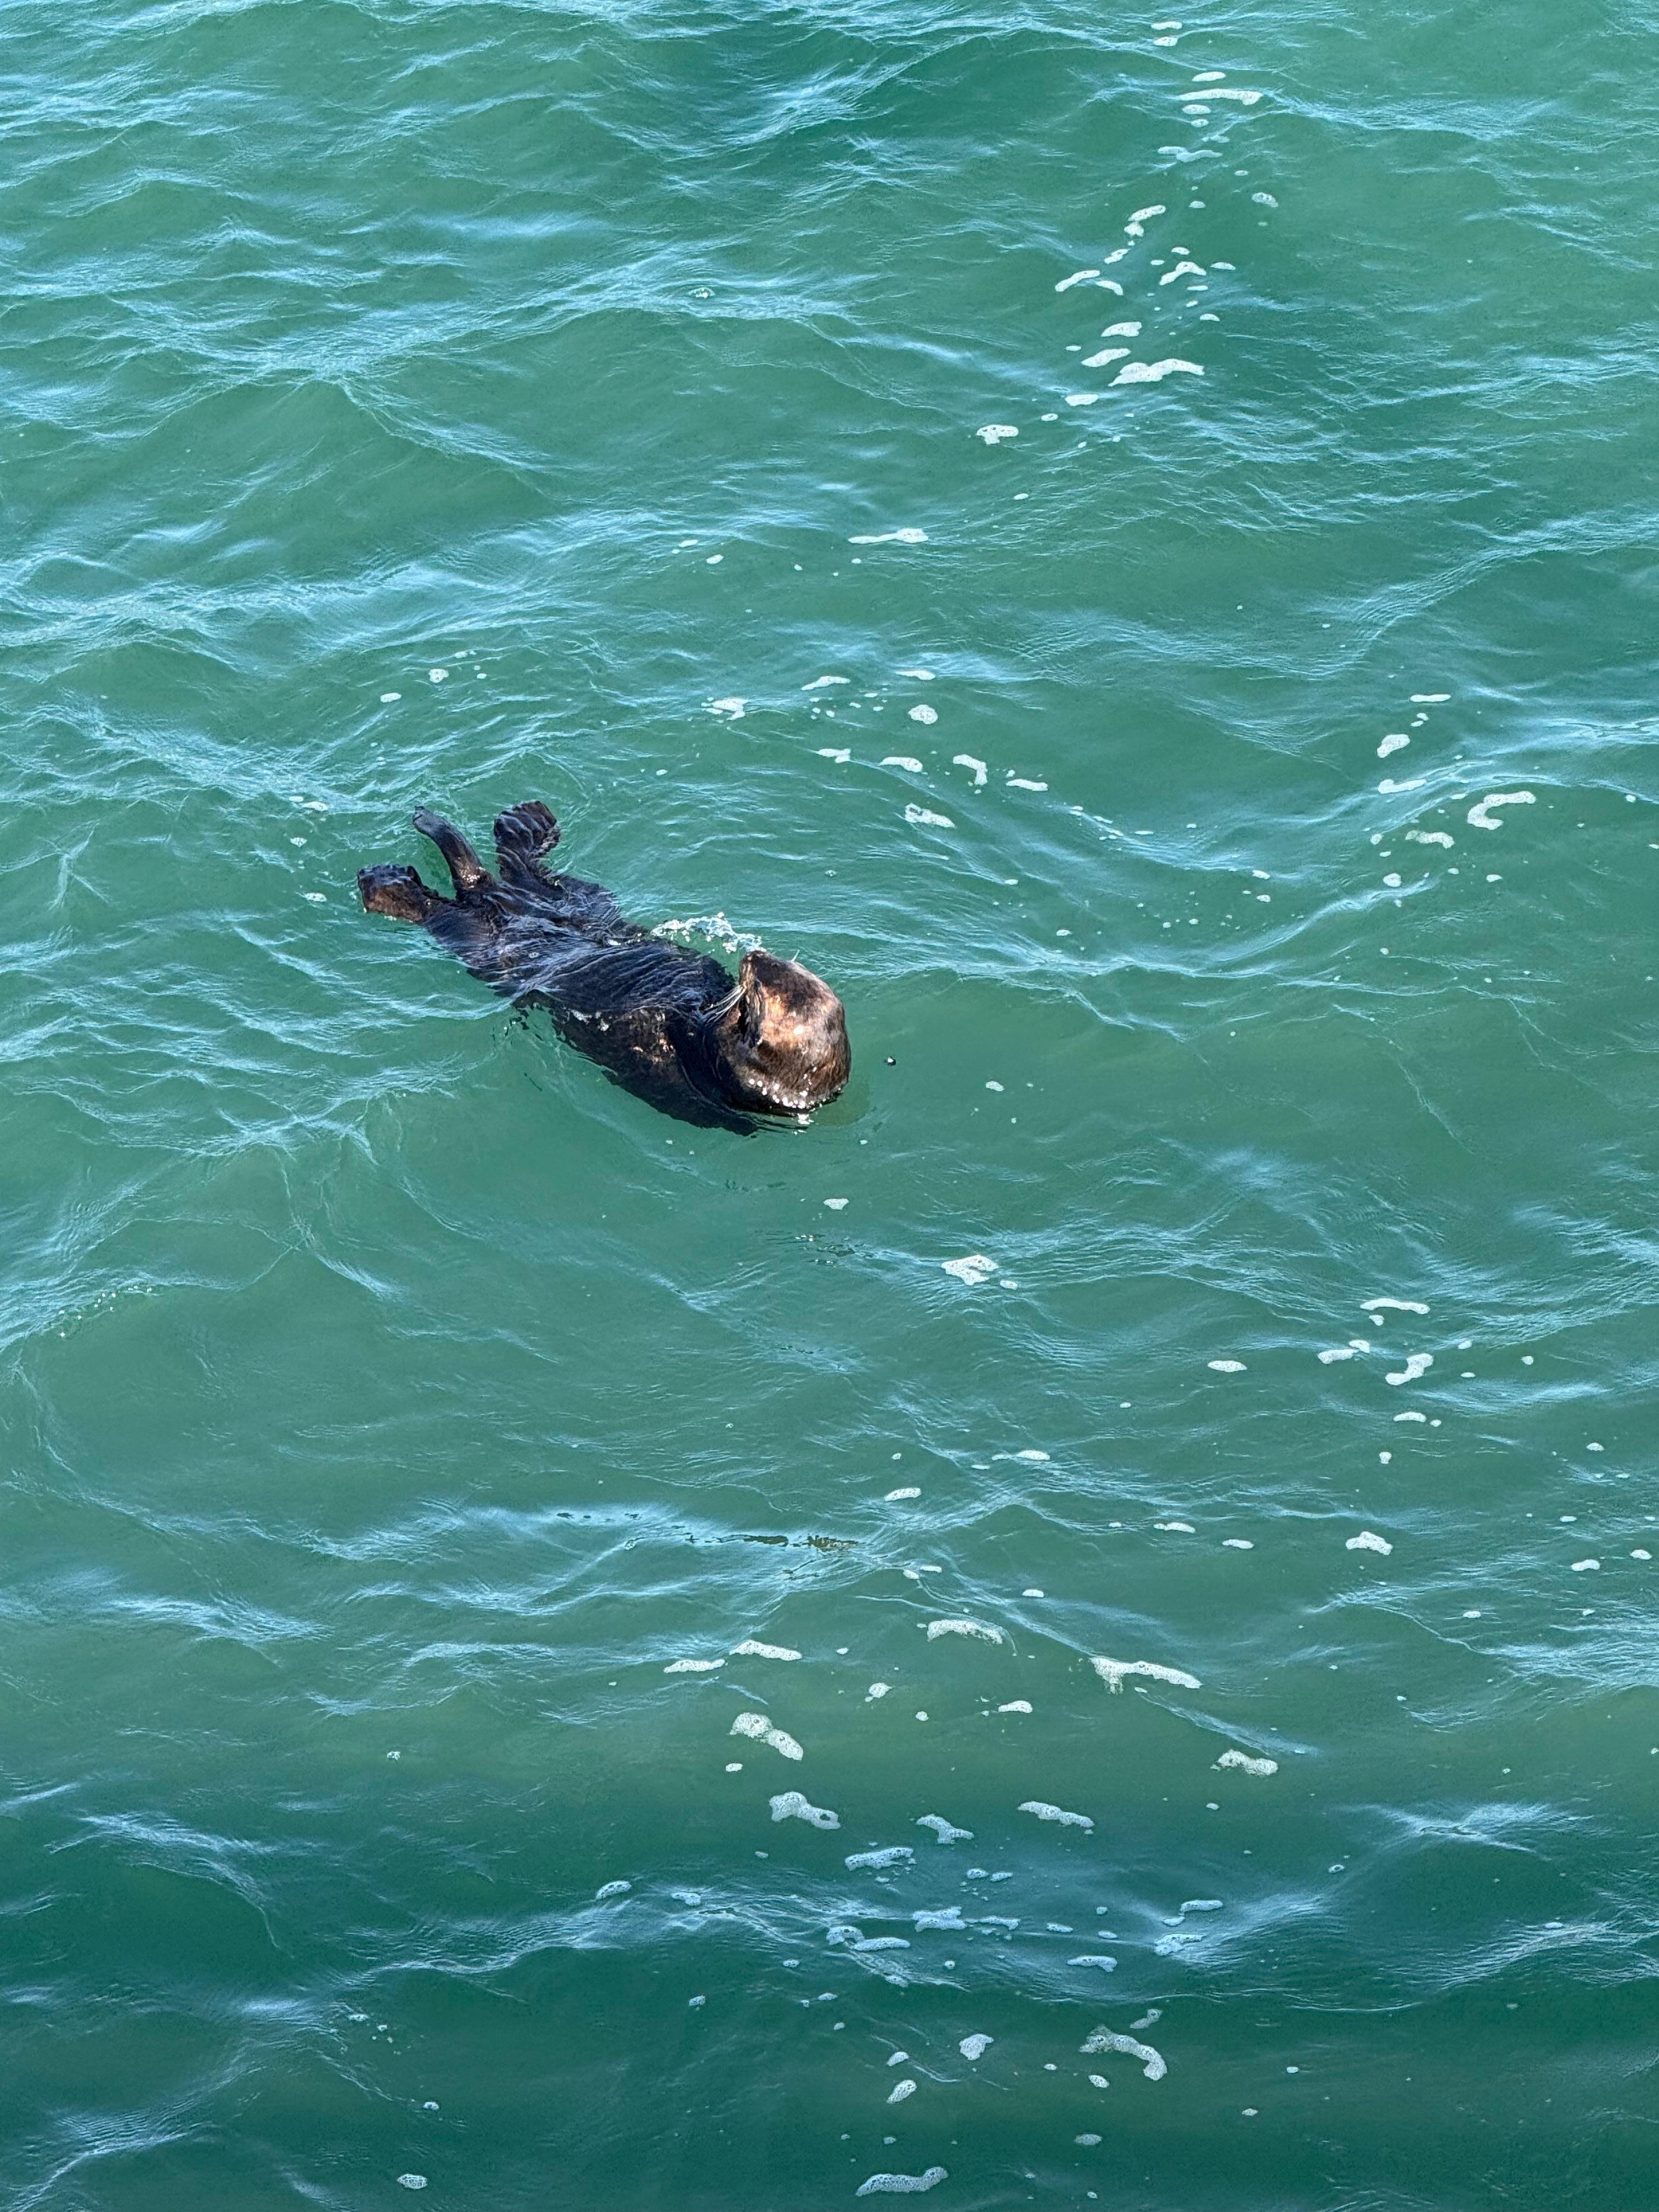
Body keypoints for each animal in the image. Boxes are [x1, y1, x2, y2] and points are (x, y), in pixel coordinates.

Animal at [357, 802, 850, 1129]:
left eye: (766, 991)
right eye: (782, 969)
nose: (752, 958)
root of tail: (500, 901)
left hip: (482, 941)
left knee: (450, 908)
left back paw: (388, 882)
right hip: (583, 901)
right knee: (525, 873)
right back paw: (523, 823)